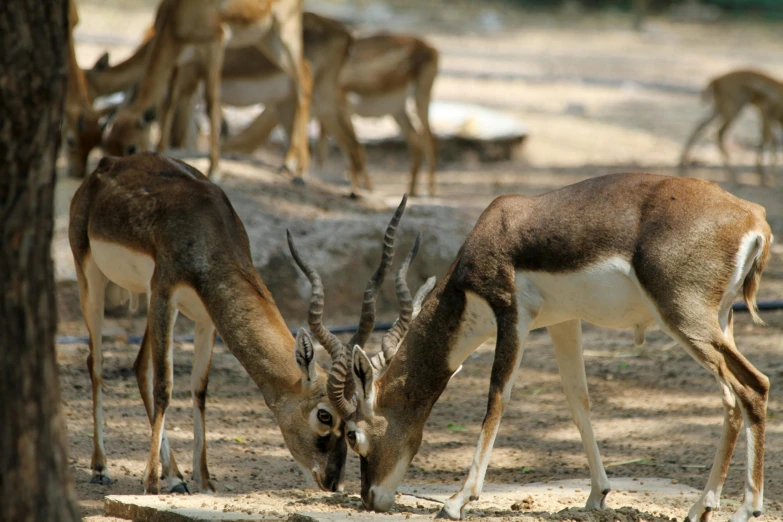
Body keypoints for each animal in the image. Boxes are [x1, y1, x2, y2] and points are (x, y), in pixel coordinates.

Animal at [69, 152, 408, 494]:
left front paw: (203, 481)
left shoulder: (207, 316)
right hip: (93, 279)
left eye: (351, 425)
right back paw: (101, 467)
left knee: (140, 367)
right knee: (96, 363)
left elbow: (199, 389)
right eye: (324, 416)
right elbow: (164, 386)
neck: (206, 229)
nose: (332, 481)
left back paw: (175, 475)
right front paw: (151, 484)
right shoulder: (164, 294)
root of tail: (107, 164)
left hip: (149, 303)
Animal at [316, 172, 772, 520]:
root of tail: (755, 216)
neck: (494, 231)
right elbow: (578, 401)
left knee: (754, 386)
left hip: (685, 319)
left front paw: (457, 501)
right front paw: (597, 494)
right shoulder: (563, 322)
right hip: (720, 322)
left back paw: (746, 509)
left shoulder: (511, 315)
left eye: (353, 434)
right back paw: (702, 507)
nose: (370, 498)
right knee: (731, 401)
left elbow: (496, 400)